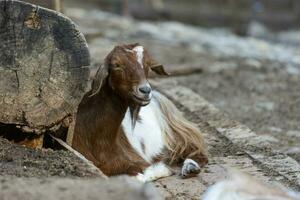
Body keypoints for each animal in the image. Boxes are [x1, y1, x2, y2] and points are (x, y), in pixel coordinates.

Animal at [72, 43, 209, 181]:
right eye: (116, 65)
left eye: (147, 64)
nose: (145, 90)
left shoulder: (135, 160)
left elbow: (141, 175)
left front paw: (161, 169)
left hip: (180, 132)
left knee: (197, 151)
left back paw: (191, 168)